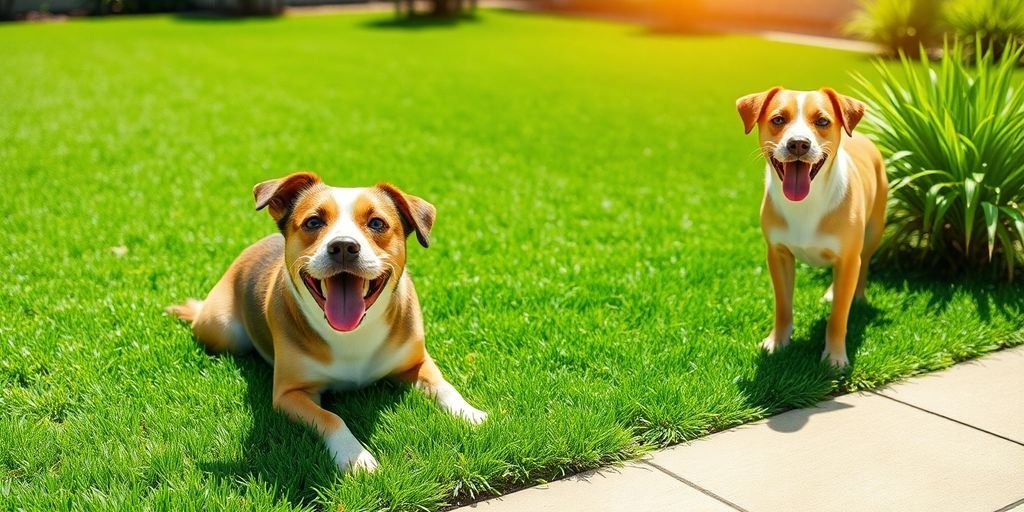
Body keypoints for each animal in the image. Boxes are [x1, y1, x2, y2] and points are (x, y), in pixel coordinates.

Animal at [167, 172, 487, 471]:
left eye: (377, 223)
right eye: (313, 222)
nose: (344, 246)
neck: (353, 333)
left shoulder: (415, 362)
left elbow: (445, 386)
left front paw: (470, 413)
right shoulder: (290, 394)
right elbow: (331, 417)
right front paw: (355, 457)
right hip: (221, 329)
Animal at [737, 89, 888, 368]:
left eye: (822, 121)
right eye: (778, 119)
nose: (798, 143)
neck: (806, 204)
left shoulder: (848, 257)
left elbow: (839, 314)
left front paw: (835, 357)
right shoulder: (778, 254)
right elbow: (783, 304)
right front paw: (777, 342)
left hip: (874, 228)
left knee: (863, 263)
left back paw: (858, 297)